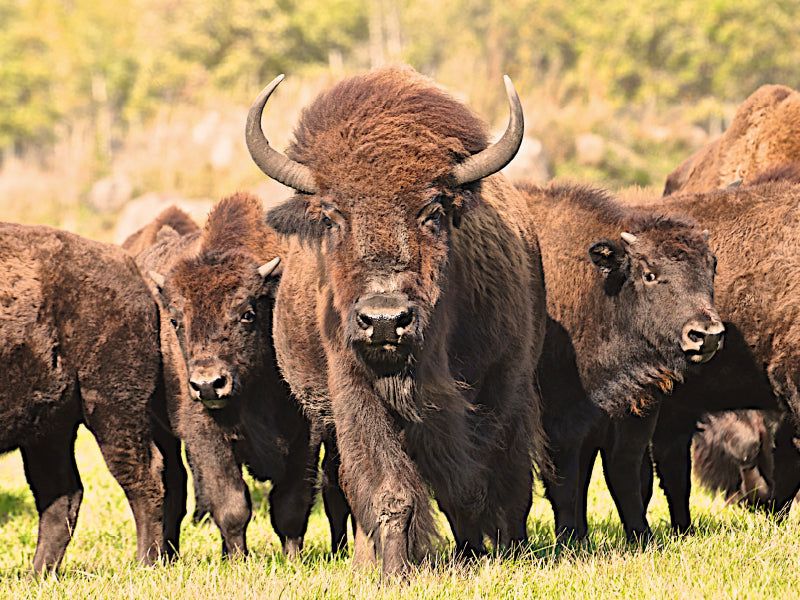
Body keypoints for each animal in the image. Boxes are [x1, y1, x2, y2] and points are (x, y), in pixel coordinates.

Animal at [0, 223, 183, 576]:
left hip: (112, 406)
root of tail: (134, 272)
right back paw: (37, 576)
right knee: (62, 494)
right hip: (48, 428)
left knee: (144, 475)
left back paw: (145, 564)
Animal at [133, 195, 348, 560]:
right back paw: (169, 554)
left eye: (247, 314)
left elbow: (290, 506)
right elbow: (232, 504)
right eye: (175, 320)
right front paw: (236, 560)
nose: (208, 384)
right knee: (173, 484)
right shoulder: (204, 432)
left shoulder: (308, 434)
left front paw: (292, 559)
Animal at [248, 65, 552, 576]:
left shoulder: (497, 392)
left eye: (433, 211)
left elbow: (476, 486)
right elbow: (389, 492)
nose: (385, 320)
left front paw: (482, 556)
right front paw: (393, 574)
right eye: (330, 217)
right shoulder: (355, 394)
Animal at [520, 180, 724, 540]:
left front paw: (643, 537)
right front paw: (571, 539)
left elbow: (623, 472)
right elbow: (565, 481)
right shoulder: (560, 417)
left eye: (711, 267)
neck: (599, 289)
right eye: (649, 274)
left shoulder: (633, 411)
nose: (706, 334)